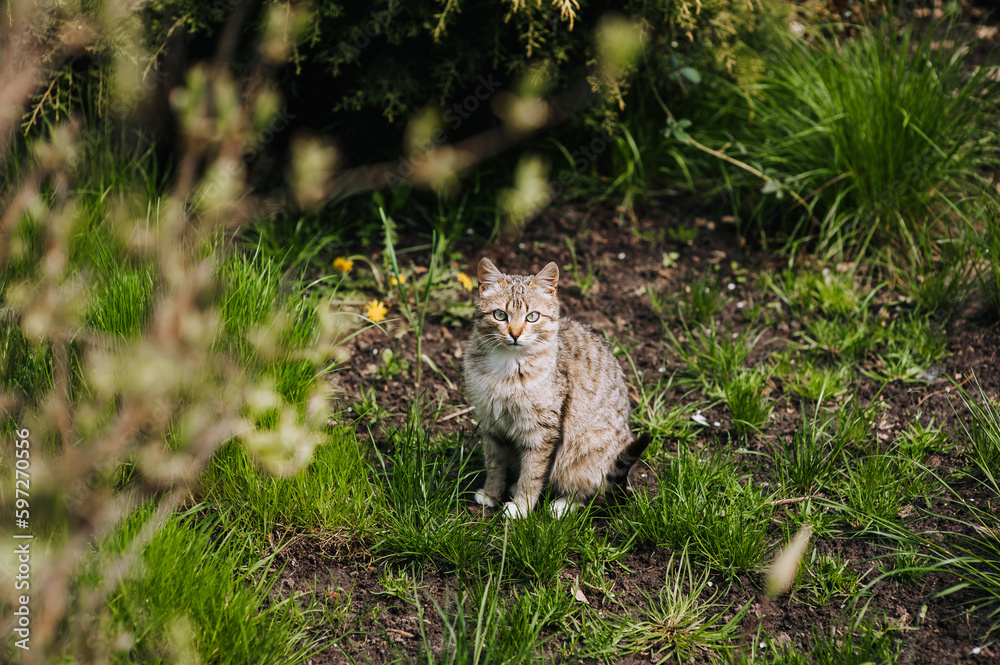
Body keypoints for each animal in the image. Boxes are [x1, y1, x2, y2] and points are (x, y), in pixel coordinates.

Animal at [462, 255, 648, 520]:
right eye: (499, 315)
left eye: (532, 317)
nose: (515, 334)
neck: (508, 365)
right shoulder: (491, 423)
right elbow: (494, 463)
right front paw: (491, 494)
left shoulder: (542, 431)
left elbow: (532, 473)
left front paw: (521, 507)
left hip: (581, 455)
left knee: (593, 492)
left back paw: (561, 505)